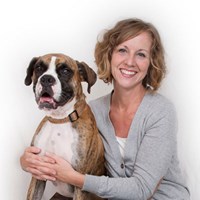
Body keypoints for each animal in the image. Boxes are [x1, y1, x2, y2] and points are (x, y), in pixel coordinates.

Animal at [24, 53, 105, 200]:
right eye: (39, 68)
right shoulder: (38, 173)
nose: (46, 79)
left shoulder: (80, 184)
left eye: (65, 71)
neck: (60, 119)